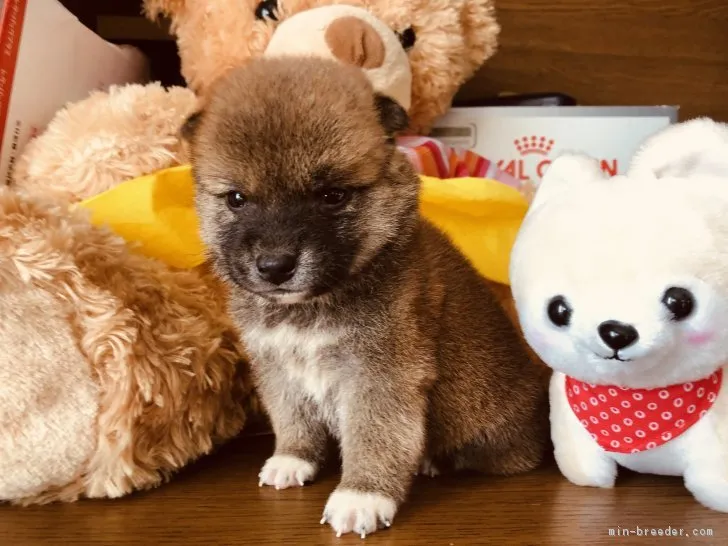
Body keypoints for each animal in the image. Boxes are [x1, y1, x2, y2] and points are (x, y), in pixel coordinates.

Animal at [185, 56, 548, 536]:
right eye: (237, 199)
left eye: (332, 195)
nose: (275, 266)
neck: (313, 306)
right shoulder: (277, 368)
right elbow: (292, 418)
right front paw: (292, 458)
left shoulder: (381, 374)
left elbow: (374, 435)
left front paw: (362, 496)